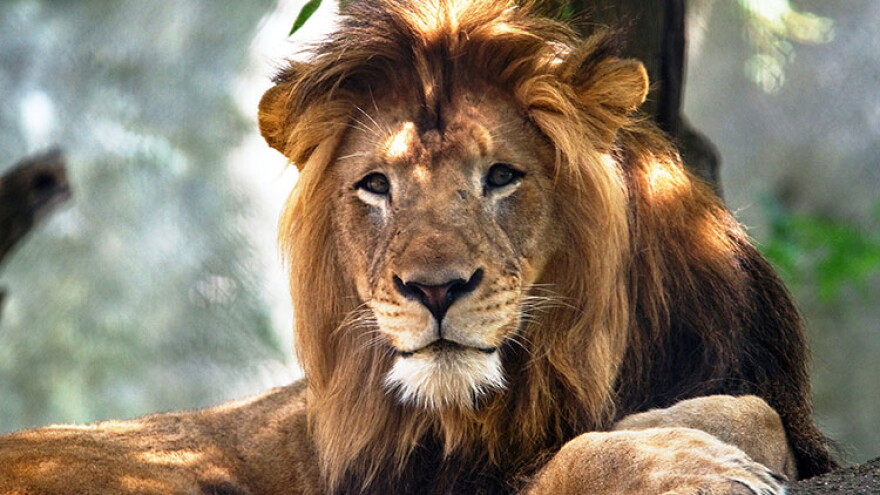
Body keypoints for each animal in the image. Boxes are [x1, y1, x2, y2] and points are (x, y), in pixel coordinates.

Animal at [0, 0, 836, 494]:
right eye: (376, 185)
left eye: (501, 175)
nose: (433, 289)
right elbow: (579, 456)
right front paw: (683, 460)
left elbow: (753, 409)